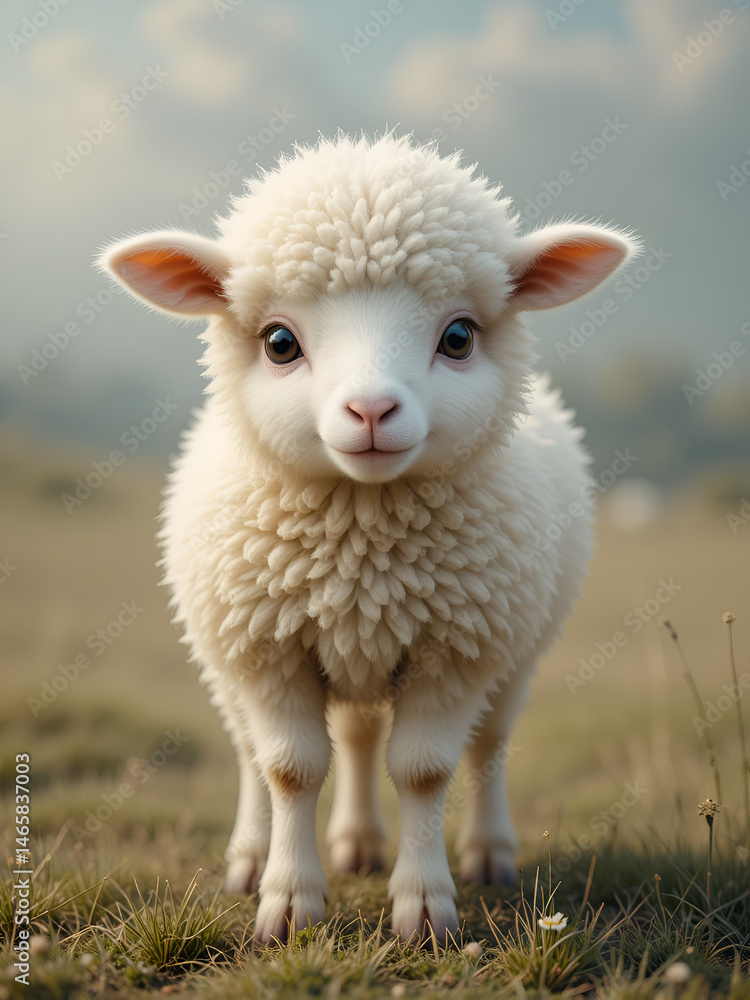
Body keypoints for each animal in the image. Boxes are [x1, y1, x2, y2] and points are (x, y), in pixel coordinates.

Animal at [100, 133, 637, 944]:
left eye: (458, 337)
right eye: (279, 342)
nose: (373, 411)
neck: (362, 549)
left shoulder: (457, 651)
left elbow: (423, 770)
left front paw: (425, 904)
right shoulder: (267, 650)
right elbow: (289, 769)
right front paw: (288, 901)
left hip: (513, 653)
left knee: (484, 746)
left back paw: (483, 854)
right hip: (234, 656)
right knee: (275, 752)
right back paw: (267, 856)